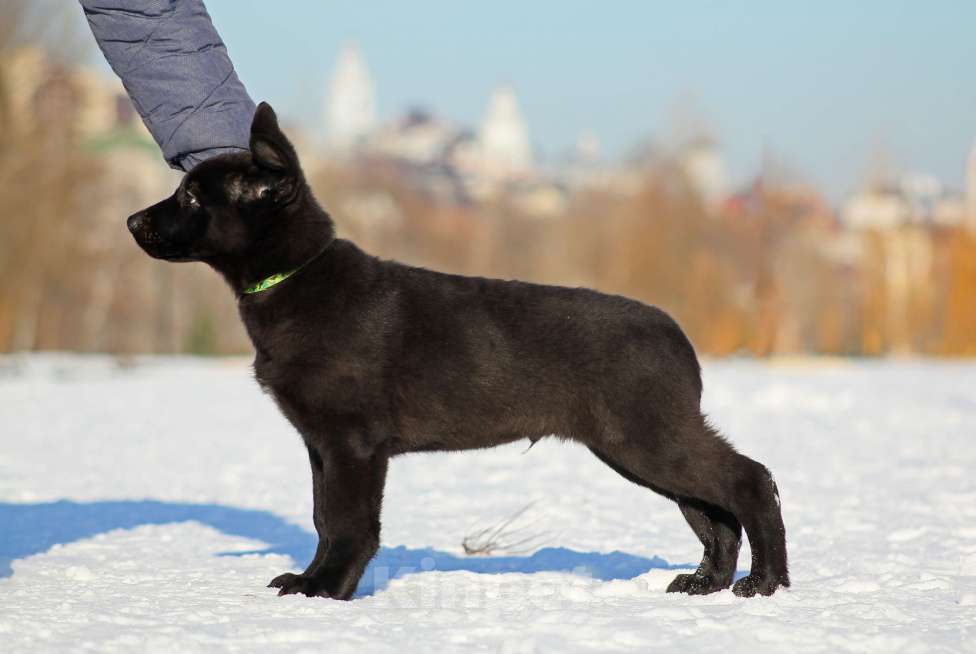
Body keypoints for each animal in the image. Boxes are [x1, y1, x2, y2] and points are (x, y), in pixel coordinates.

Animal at [126, 104, 788, 604]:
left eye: (191, 198)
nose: (132, 221)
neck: (297, 276)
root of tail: (676, 334)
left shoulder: (353, 442)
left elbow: (347, 523)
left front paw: (328, 590)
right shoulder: (319, 443)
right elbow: (320, 518)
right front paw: (309, 581)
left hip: (649, 437)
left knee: (749, 480)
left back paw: (765, 583)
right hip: (640, 445)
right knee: (714, 511)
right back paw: (705, 583)